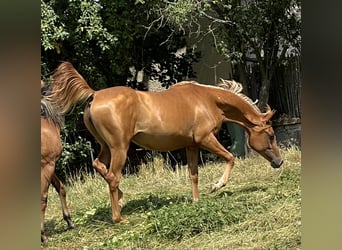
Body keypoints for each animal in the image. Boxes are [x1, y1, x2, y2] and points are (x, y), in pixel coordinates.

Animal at [47, 62, 284, 225]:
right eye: (271, 134)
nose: (279, 162)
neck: (208, 99)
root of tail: (94, 95)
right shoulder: (206, 139)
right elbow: (230, 157)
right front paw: (216, 186)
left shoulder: (191, 145)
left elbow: (193, 174)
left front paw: (196, 200)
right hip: (119, 148)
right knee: (113, 176)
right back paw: (118, 218)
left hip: (105, 147)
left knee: (99, 166)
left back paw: (121, 199)